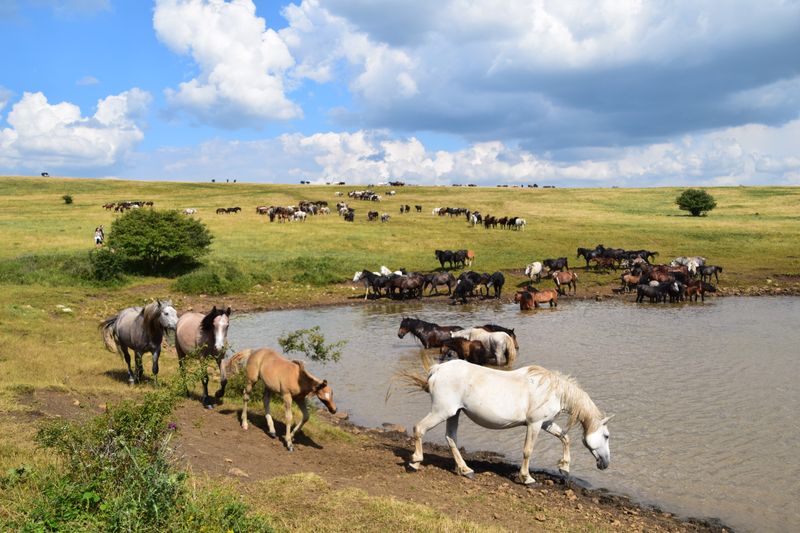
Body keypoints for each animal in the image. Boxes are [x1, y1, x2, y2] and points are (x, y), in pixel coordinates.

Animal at [405, 360, 612, 484]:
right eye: (606, 435)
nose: (606, 463)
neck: (551, 389)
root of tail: (438, 369)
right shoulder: (534, 424)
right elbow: (528, 451)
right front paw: (527, 478)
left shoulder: (545, 423)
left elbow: (565, 438)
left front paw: (564, 468)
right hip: (441, 412)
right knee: (419, 429)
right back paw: (415, 462)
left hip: (453, 414)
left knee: (451, 438)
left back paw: (466, 470)